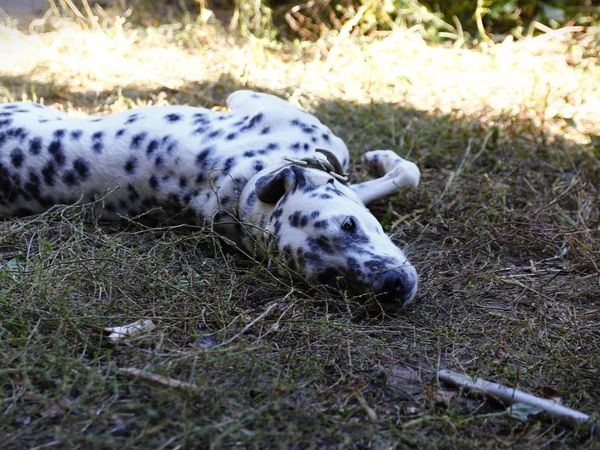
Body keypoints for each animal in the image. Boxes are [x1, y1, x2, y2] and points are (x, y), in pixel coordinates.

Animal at [0, 89, 422, 304]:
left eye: (349, 224)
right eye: (330, 279)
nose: (392, 287)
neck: (244, 189)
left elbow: (406, 174)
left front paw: (380, 159)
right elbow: (409, 171)